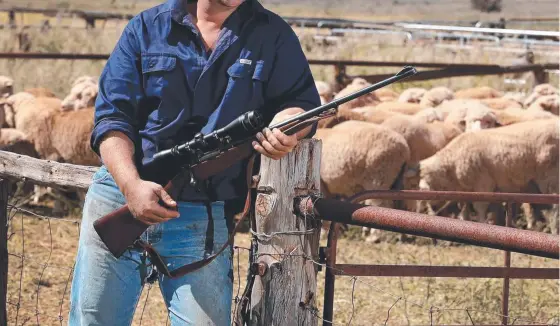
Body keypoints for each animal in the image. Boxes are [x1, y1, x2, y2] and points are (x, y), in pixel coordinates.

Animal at [418, 119, 556, 224]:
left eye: (427, 191)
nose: (432, 210)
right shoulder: (469, 190)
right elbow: (465, 208)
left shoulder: (483, 185)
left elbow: (480, 207)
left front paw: (482, 223)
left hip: (550, 179)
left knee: (554, 209)